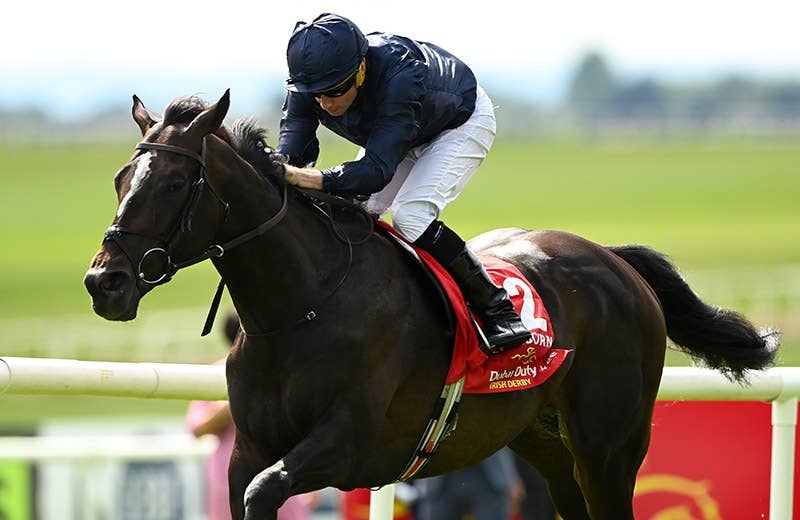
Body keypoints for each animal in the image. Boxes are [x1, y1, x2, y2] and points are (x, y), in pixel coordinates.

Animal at [83, 90, 778, 520]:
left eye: (176, 182)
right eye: (119, 179)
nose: (104, 282)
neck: (300, 308)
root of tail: (612, 259)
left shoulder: (346, 441)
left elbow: (267, 491)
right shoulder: (247, 450)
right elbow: (250, 489)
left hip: (609, 444)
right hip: (545, 444)